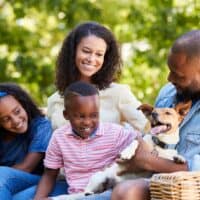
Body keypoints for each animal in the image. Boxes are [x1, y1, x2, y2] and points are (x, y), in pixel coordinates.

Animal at [50, 101, 191, 200]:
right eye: (153, 112)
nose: (154, 114)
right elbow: (134, 142)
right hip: (98, 177)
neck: (158, 144)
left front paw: (180, 158)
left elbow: (173, 156)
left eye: (168, 113)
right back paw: (88, 192)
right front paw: (127, 153)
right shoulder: (138, 141)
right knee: (87, 191)